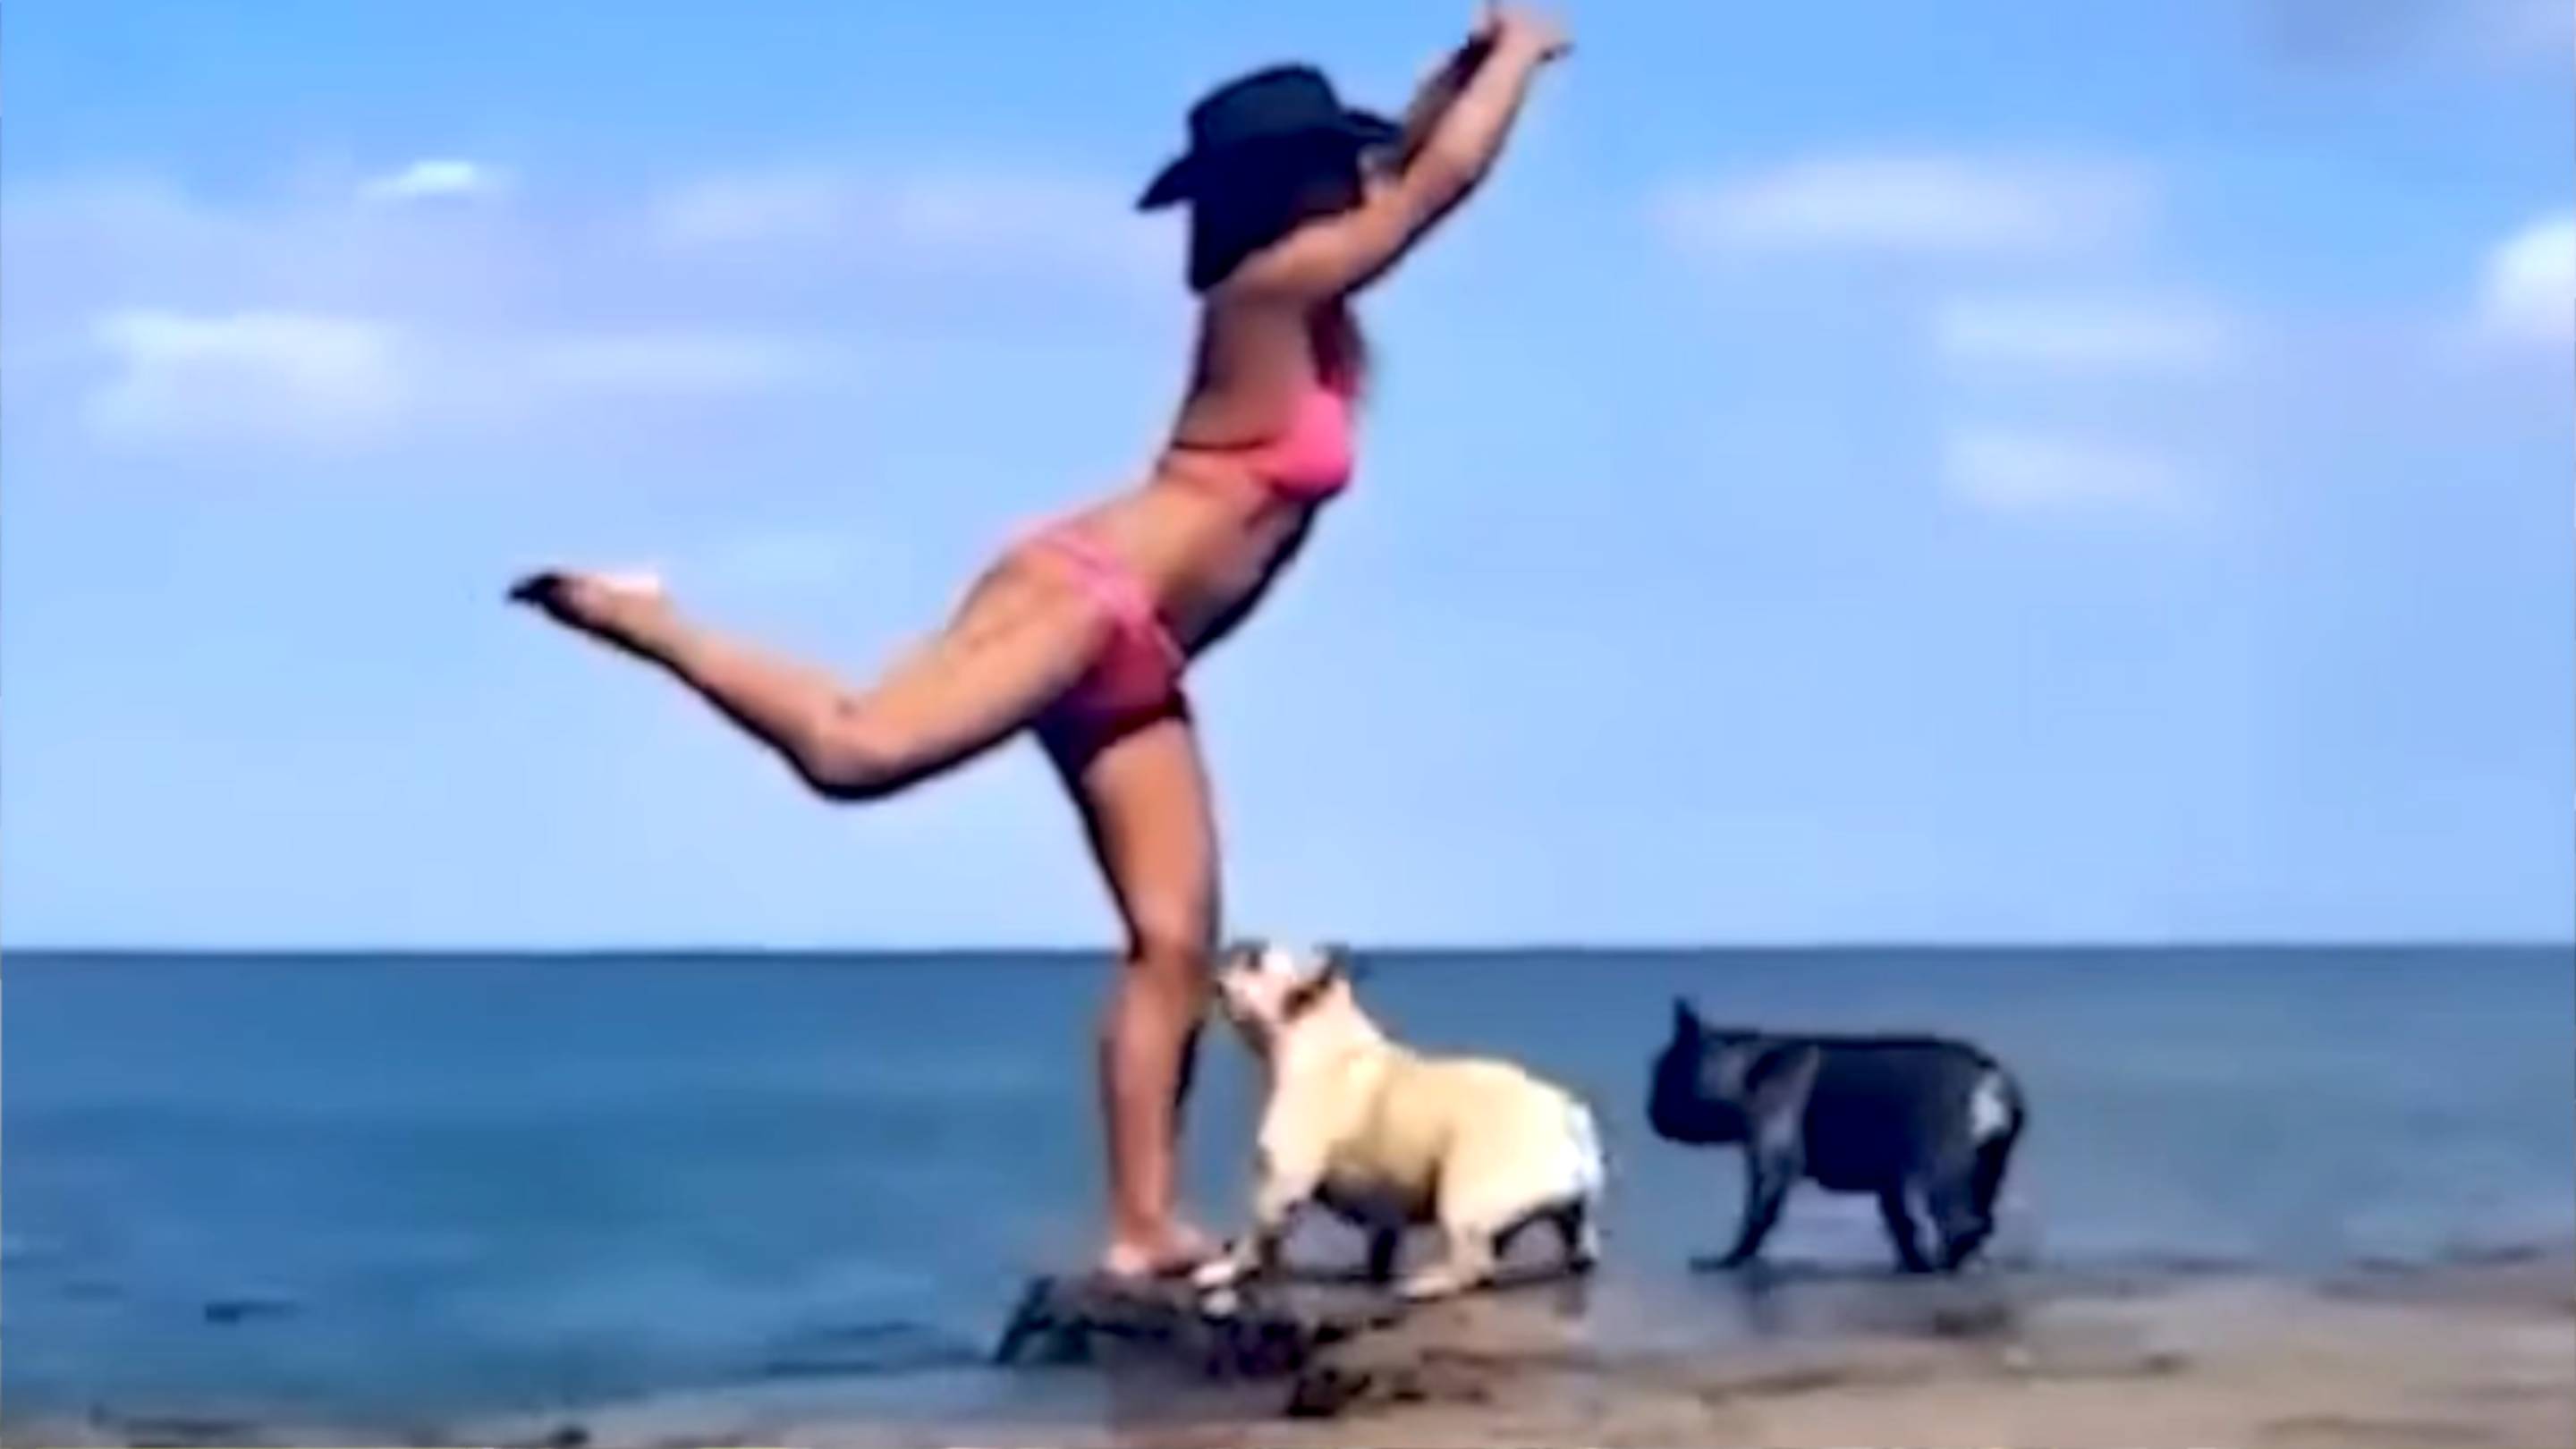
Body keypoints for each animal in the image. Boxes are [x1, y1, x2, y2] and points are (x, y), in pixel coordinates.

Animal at [1193, 940, 1605, 1301]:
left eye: (1253, 961)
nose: (1223, 964)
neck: (1322, 1037)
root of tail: (1566, 1115)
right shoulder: (1382, 1203)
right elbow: (1382, 1237)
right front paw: (1373, 1269)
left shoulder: (1282, 1181)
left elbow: (1258, 1232)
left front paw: (1226, 1269)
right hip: (1560, 1204)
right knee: (1571, 1230)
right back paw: (1576, 1258)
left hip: (1466, 1198)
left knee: (1473, 1261)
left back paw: (1427, 1284)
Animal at [1646, 997, 2026, 1274]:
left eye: (1666, 1075)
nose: (1650, 1111)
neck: (1745, 1070)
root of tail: (1991, 1075)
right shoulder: (1888, 1180)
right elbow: (1900, 1221)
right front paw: (1911, 1262)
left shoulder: (1772, 1159)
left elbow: (1757, 1215)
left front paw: (1730, 1260)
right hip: (1987, 1164)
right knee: (1978, 1216)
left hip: (1944, 1167)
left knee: (1961, 1221)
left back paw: (1947, 1263)